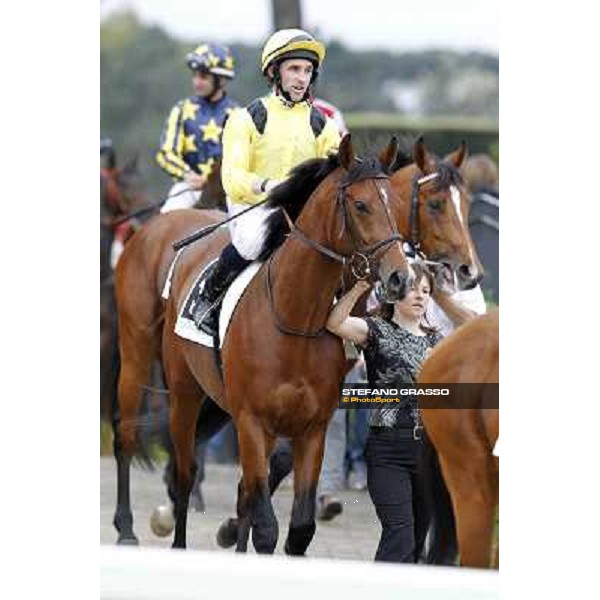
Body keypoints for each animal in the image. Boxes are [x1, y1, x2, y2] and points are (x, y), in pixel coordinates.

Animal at [114, 136, 410, 552]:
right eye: (361, 205)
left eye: (395, 204)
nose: (400, 278)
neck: (295, 318)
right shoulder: (251, 421)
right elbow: (266, 526)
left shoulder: (311, 429)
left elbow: (297, 526)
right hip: (167, 377)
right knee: (168, 461)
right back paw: (131, 528)